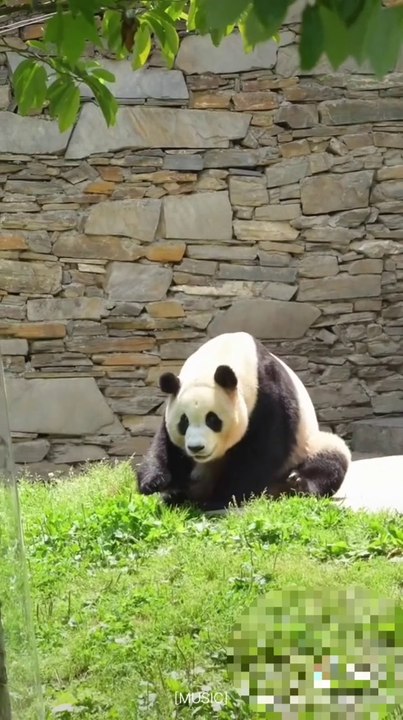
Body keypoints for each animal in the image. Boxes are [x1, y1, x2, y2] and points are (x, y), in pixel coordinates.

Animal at [137, 331, 351, 512]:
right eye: (184, 422)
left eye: (212, 419)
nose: (196, 447)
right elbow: (166, 445)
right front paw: (153, 483)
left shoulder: (268, 394)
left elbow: (262, 451)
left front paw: (222, 498)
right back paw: (177, 495)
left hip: (307, 444)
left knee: (331, 456)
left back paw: (298, 482)